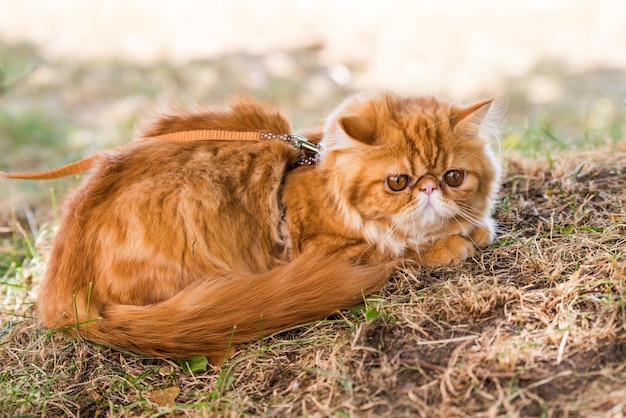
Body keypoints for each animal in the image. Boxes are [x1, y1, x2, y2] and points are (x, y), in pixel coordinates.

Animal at [37, 91, 498, 360]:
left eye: (453, 177)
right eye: (398, 182)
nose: (429, 189)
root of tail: (62, 295)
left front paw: (473, 226)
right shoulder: (330, 250)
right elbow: (403, 245)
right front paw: (451, 242)